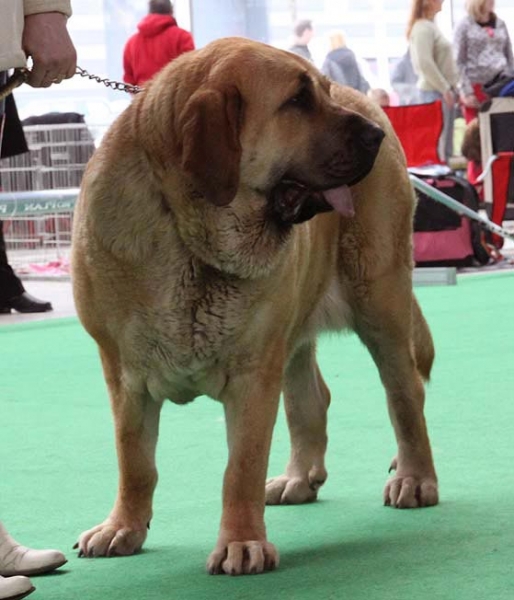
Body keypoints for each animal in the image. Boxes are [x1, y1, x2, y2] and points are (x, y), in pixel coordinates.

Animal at [72, 37, 436, 576]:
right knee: (311, 399)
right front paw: (123, 527)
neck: (189, 236)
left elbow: (240, 466)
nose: (372, 136)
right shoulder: (123, 373)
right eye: (298, 100)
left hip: (380, 302)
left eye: (322, 93)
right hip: (295, 325)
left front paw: (242, 542)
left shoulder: (252, 373)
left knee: (405, 394)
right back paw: (299, 477)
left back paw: (415, 477)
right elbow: (134, 459)